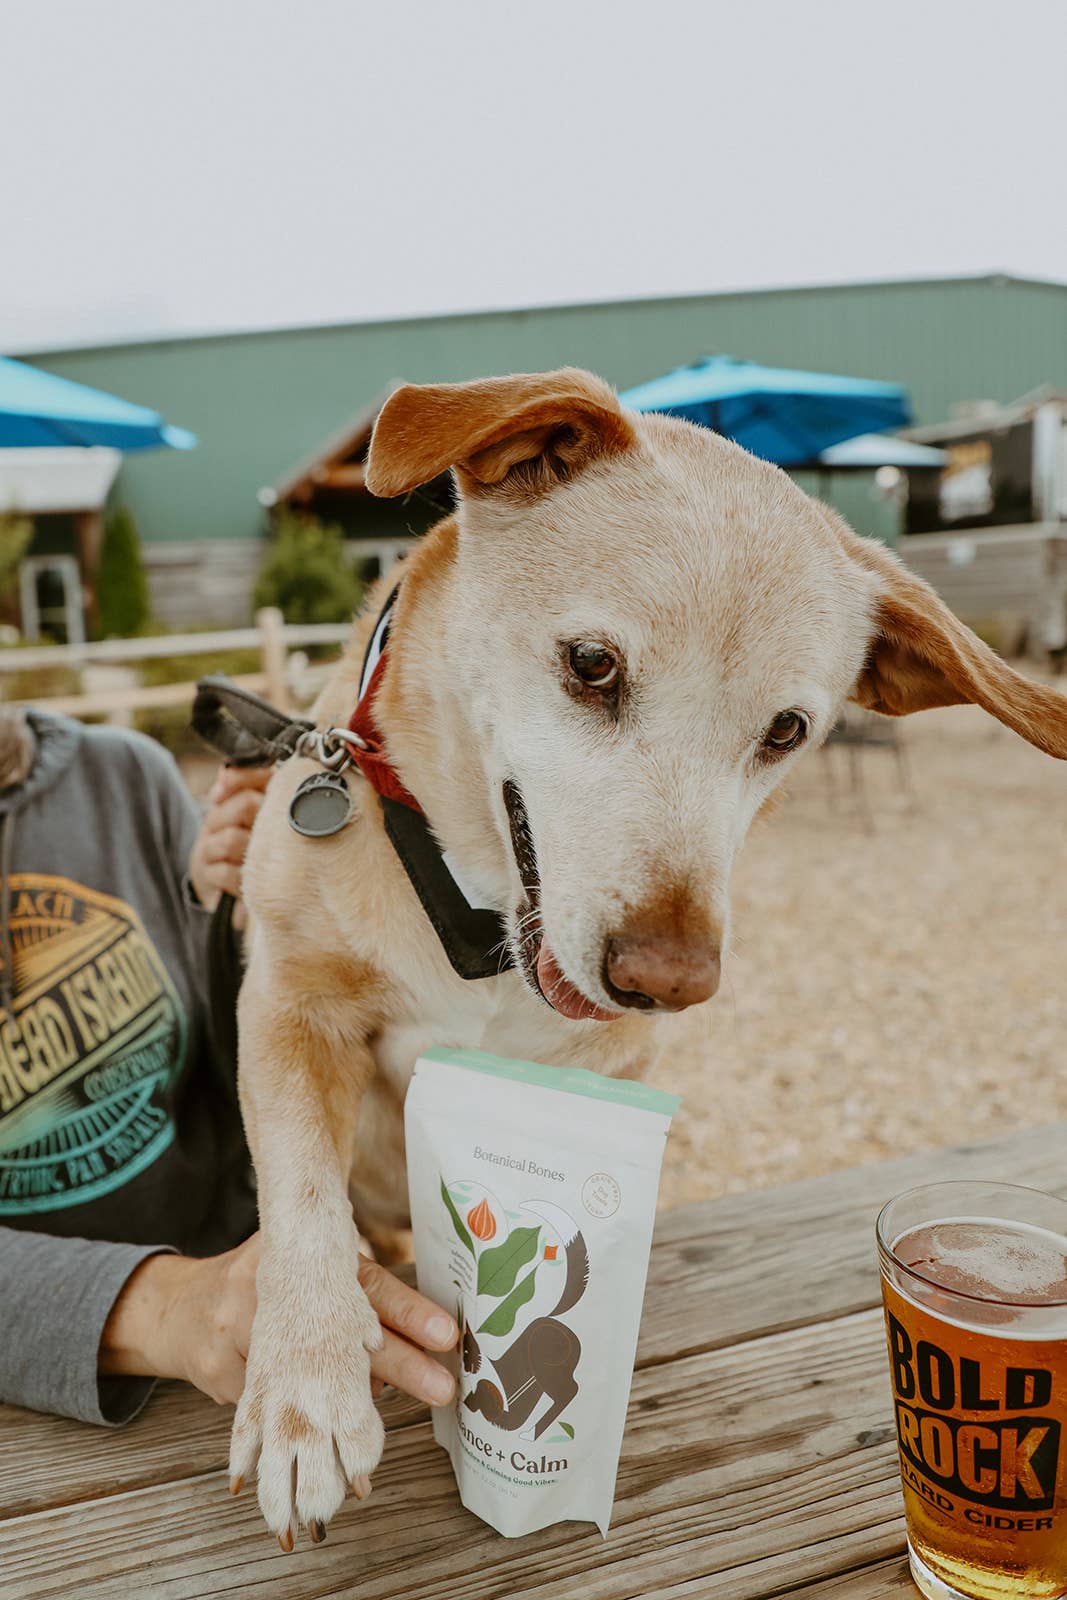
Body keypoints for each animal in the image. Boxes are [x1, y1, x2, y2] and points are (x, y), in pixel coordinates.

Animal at [230, 363, 1067, 1536]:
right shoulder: (289, 1005)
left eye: (785, 732)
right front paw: (306, 1392)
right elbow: (303, 1195)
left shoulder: (602, 1076)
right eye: (591, 665)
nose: (667, 982)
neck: (476, 920)